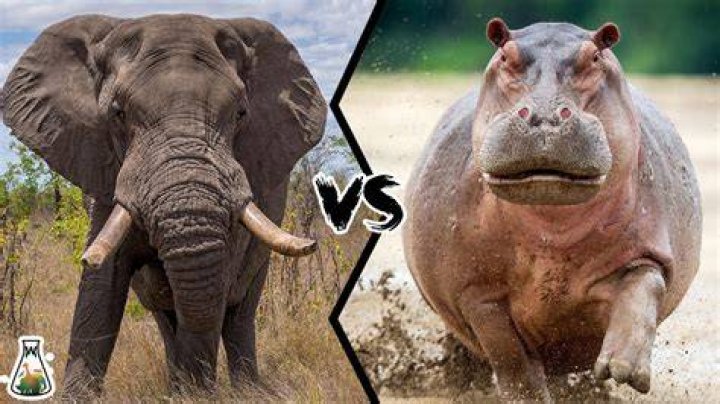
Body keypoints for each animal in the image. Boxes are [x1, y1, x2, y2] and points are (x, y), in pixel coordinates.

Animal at [1, 14, 327, 396]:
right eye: (118, 112)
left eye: (241, 114)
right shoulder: (104, 173)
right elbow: (102, 286)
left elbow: (216, 285)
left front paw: (197, 397)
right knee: (165, 312)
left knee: (239, 310)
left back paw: (247, 390)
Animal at [403, 18, 701, 401]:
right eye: (504, 56)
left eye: (595, 57)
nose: (544, 115)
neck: (552, 230)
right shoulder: (476, 291)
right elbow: (509, 354)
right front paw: (525, 397)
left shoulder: (647, 251)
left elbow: (642, 290)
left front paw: (622, 369)